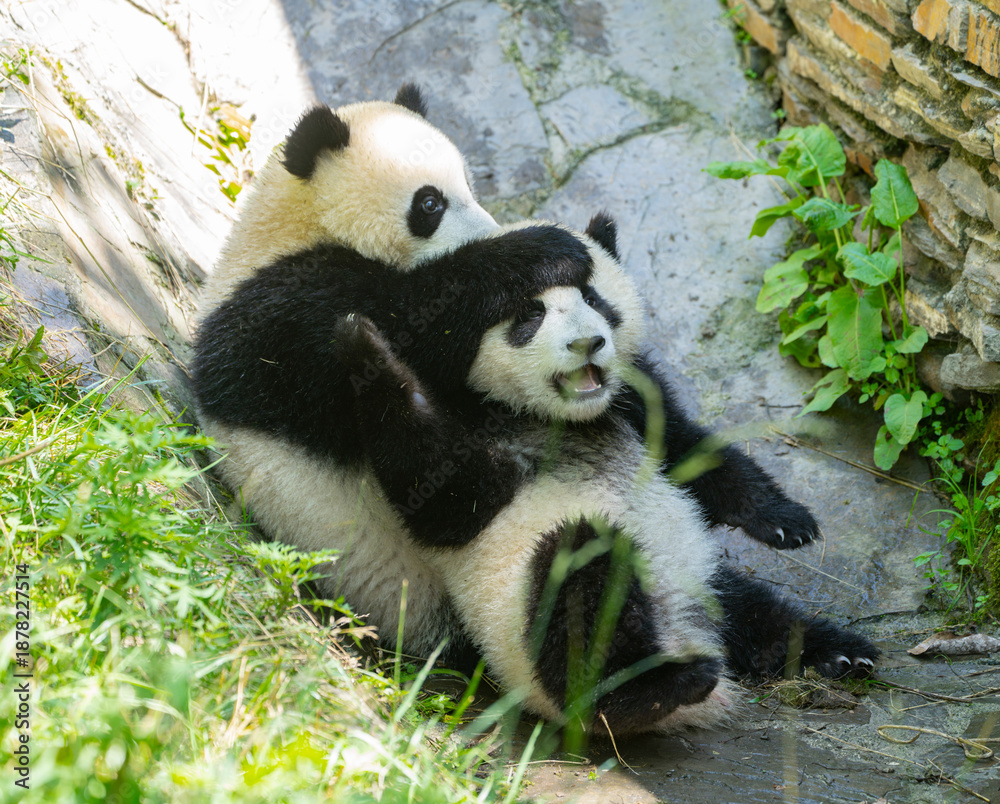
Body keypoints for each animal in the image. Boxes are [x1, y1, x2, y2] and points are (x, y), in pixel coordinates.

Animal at [193, 216, 878, 734]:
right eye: (529, 315)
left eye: (595, 299)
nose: (588, 344)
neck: (551, 416)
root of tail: (686, 633)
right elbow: (446, 495)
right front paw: (366, 349)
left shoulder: (632, 403)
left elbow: (692, 454)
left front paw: (785, 521)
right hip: (529, 621)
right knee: (580, 583)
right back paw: (646, 690)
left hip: (695, 574)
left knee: (756, 611)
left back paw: (837, 651)